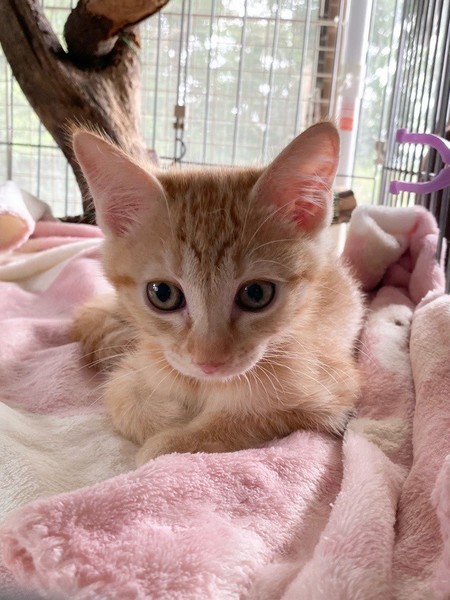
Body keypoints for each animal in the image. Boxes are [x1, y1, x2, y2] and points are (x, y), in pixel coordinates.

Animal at [70, 121, 364, 465]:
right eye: (162, 293)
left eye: (256, 294)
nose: (208, 362)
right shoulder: (143, 359)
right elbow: (120, 394)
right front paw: (169, 414)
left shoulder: (333, 391)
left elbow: (248, 417)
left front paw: (170, 441)